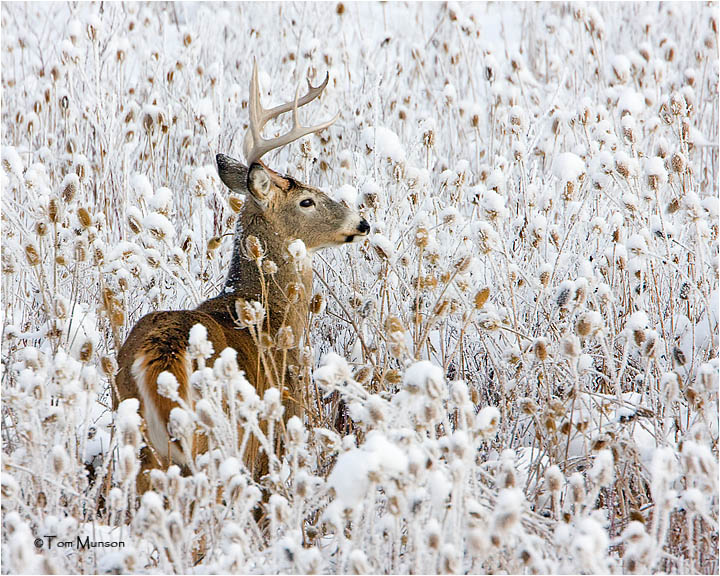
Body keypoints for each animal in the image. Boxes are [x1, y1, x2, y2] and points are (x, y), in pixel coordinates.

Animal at [116, 66, 372, 490]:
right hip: (216, 440)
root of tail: (159, 357)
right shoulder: (281, 424)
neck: (268, 312)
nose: (362, 223)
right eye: (307, 201)